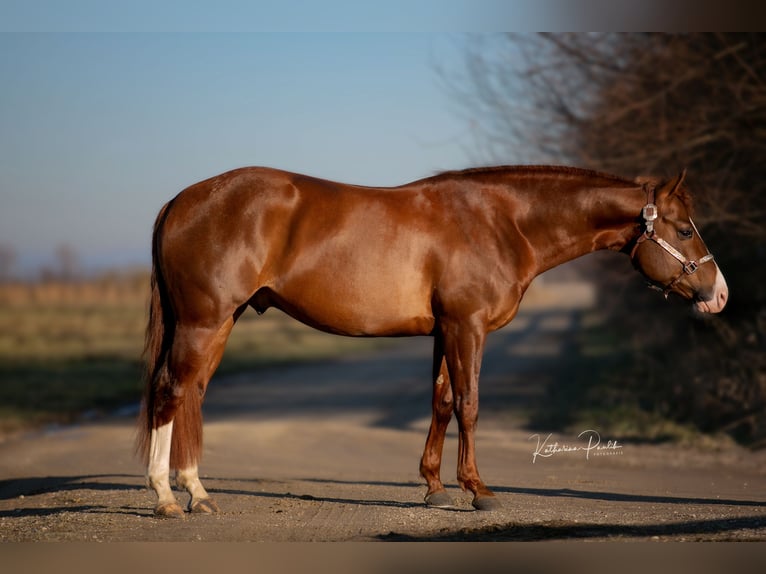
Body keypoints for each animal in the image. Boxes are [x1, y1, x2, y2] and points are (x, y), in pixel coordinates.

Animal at [135, 165, 728, 516]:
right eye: (683, 229)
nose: (718, 294)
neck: (501, 221)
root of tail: (181, 200)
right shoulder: (467, 326)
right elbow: (469, 403)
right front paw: (479, 490)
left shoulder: (446, 330)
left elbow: (442, 401)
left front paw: (435, 487)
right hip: (204, 320)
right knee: (170, 391)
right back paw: (166, 496)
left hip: (221, 322)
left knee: (191, 394)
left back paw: (197, 493)